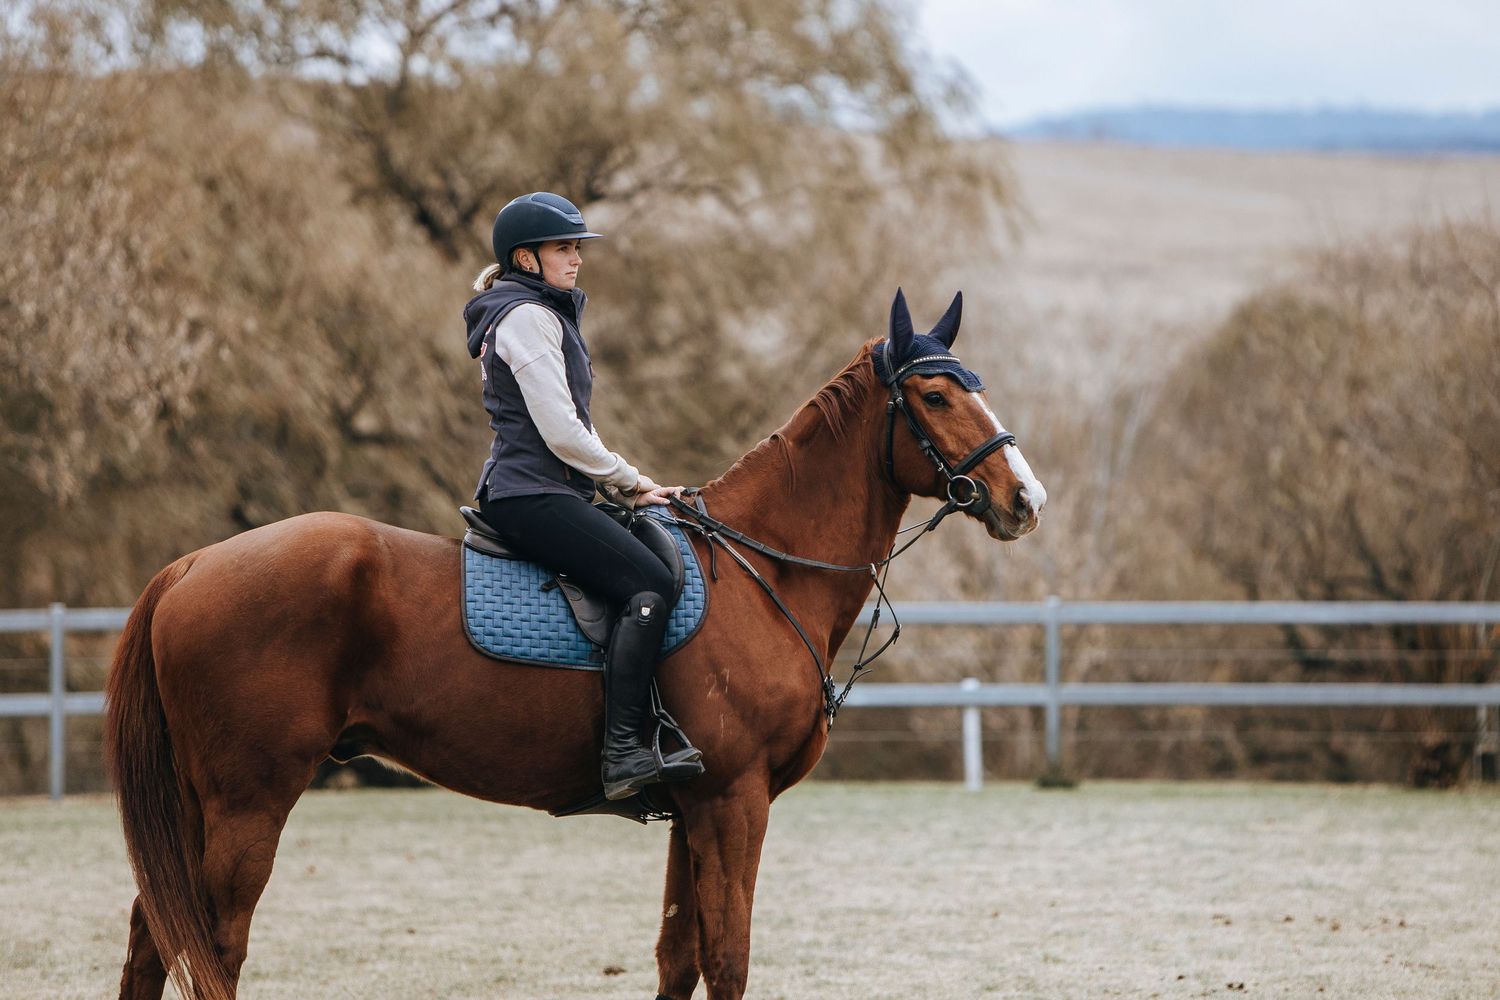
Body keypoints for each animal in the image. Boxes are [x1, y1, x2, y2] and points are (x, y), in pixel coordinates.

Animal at [104, 288, 1046, 1000]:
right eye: (935, 398)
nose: (1024, 499)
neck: (764, 568)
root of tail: (190, 566)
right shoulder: (735, 802)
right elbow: (728, 961)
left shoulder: (693, 810)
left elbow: (678, 960)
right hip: (249, 800)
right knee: (215, 950)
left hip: (200, 803)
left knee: (153, 939)